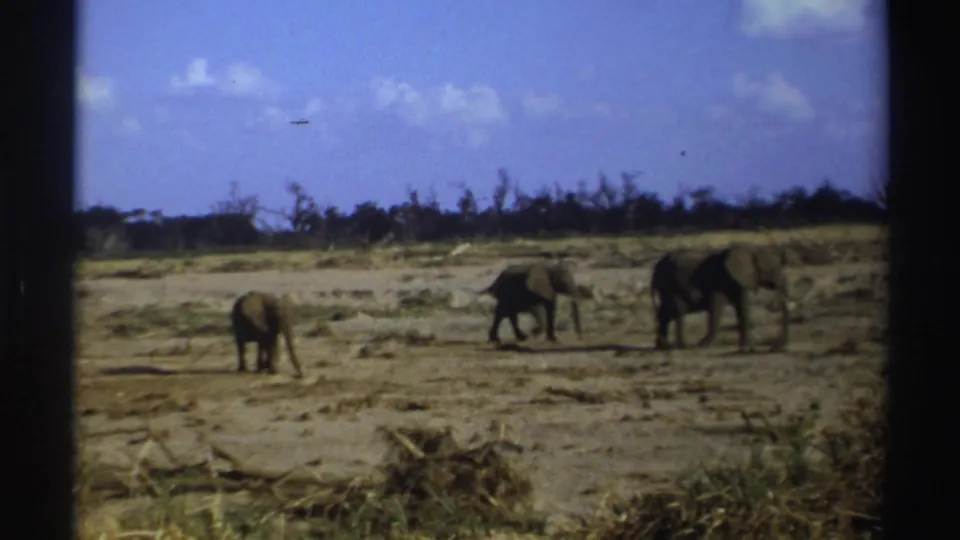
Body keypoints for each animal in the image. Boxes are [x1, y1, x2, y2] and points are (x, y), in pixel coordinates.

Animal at [649, 244, 790, 351]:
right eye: (775, 269)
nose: (776, 346)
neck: (750, 251)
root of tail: (656, 268)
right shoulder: (722, 282)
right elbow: (718, 307)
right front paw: (702, 345)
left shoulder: (739, 282)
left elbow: (740, 309)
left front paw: (744, 347)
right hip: (670, 285)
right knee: (674, 310)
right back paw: (676, 346)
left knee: (665, 313)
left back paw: (663, 346)